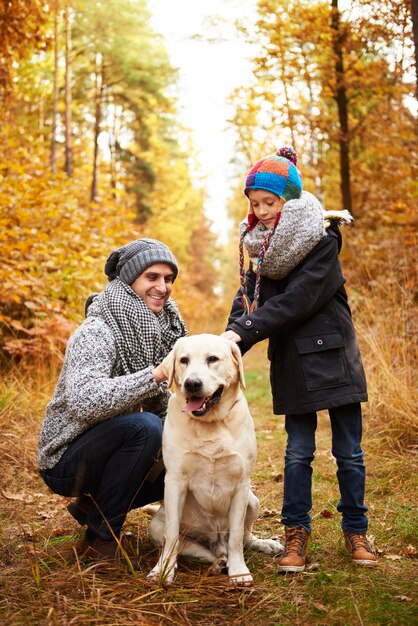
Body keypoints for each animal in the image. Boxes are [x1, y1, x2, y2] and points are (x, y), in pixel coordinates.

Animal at [145, 334, 282, 584]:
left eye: (212, 359)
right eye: (184, 360)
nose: (192, 384)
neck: (210, 423)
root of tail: (216, 542)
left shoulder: (241, 484)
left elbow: (236, 536)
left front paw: (239, 572)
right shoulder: (175, 482)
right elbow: (172, 534)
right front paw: (162, 570)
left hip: (253, 501)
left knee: (243, 538)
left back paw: (262, 545)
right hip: (158, 527)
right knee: (194, 548)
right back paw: (216, 562)